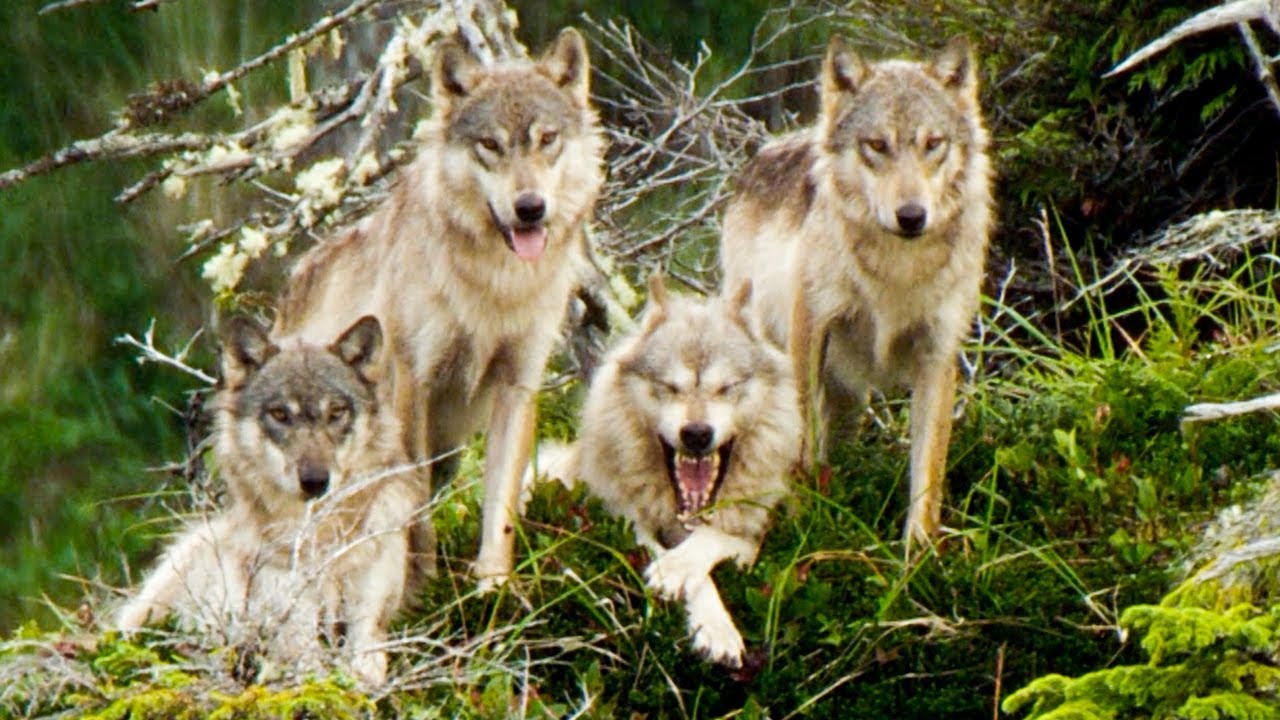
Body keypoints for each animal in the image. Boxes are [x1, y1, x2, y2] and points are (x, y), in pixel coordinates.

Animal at [116, 315, 420, 686]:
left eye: (336, 413)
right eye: (279, 414)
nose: (315, 482)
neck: (321, 538)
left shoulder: (369, 606)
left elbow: (367, 660)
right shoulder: (290, 605)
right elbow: (306, 662)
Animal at [273, 28, 606, 586]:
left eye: (547, 139)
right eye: (490, 144)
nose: (530, 208)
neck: (495, 284)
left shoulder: (518, 383)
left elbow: (501, 507)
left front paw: (495, 586)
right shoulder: (414, 384)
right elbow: (419, 511)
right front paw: (426, 585)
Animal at [533, 276, 802, 667]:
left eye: (727, 388)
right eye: (670, 387)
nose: (697, 434)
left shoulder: (752, 539)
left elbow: (709, 539)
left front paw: (689, 585)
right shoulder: (622, 523)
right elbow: (673, 564)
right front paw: (709, 620)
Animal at [720, 35, 993, 547]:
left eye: (933, 144)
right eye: (877, 145)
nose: (912, 216)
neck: (898, 268)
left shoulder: (937, 354)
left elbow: (928, 477)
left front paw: (919, 557)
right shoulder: (810, 332)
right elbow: (801, 449)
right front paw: (804, 530)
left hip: (850, 401)